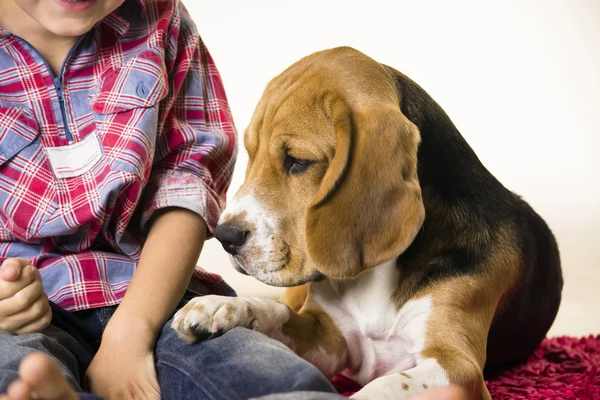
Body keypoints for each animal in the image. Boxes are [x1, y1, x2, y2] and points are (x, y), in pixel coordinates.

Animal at [172, 45, 564, 398]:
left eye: (298, 161)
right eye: (250, 154)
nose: (224, 236)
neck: (377, 275)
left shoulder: (456, 367)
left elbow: (384, 385)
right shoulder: (328, 337)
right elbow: (275, 311)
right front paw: (222, 306)